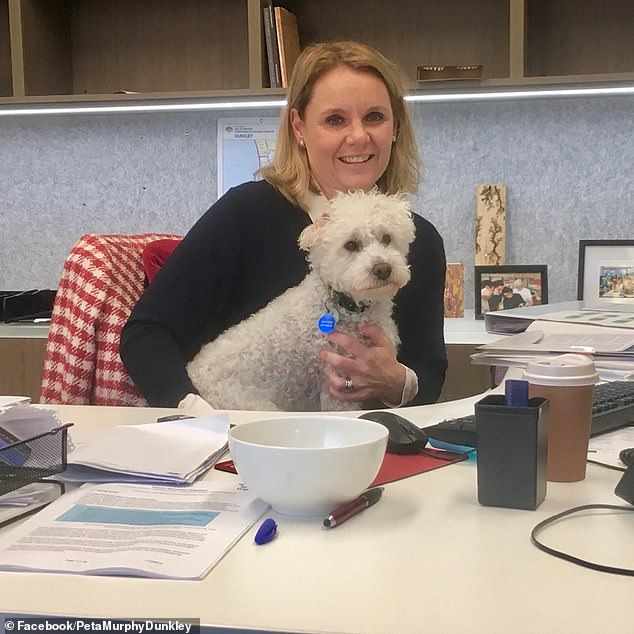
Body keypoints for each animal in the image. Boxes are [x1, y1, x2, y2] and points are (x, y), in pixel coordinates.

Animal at [186, 188, 414, 410]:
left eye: (387, 238)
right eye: (351, 245)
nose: (383, 269)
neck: (349, 307)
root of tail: (193, 372)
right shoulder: (337, 383)